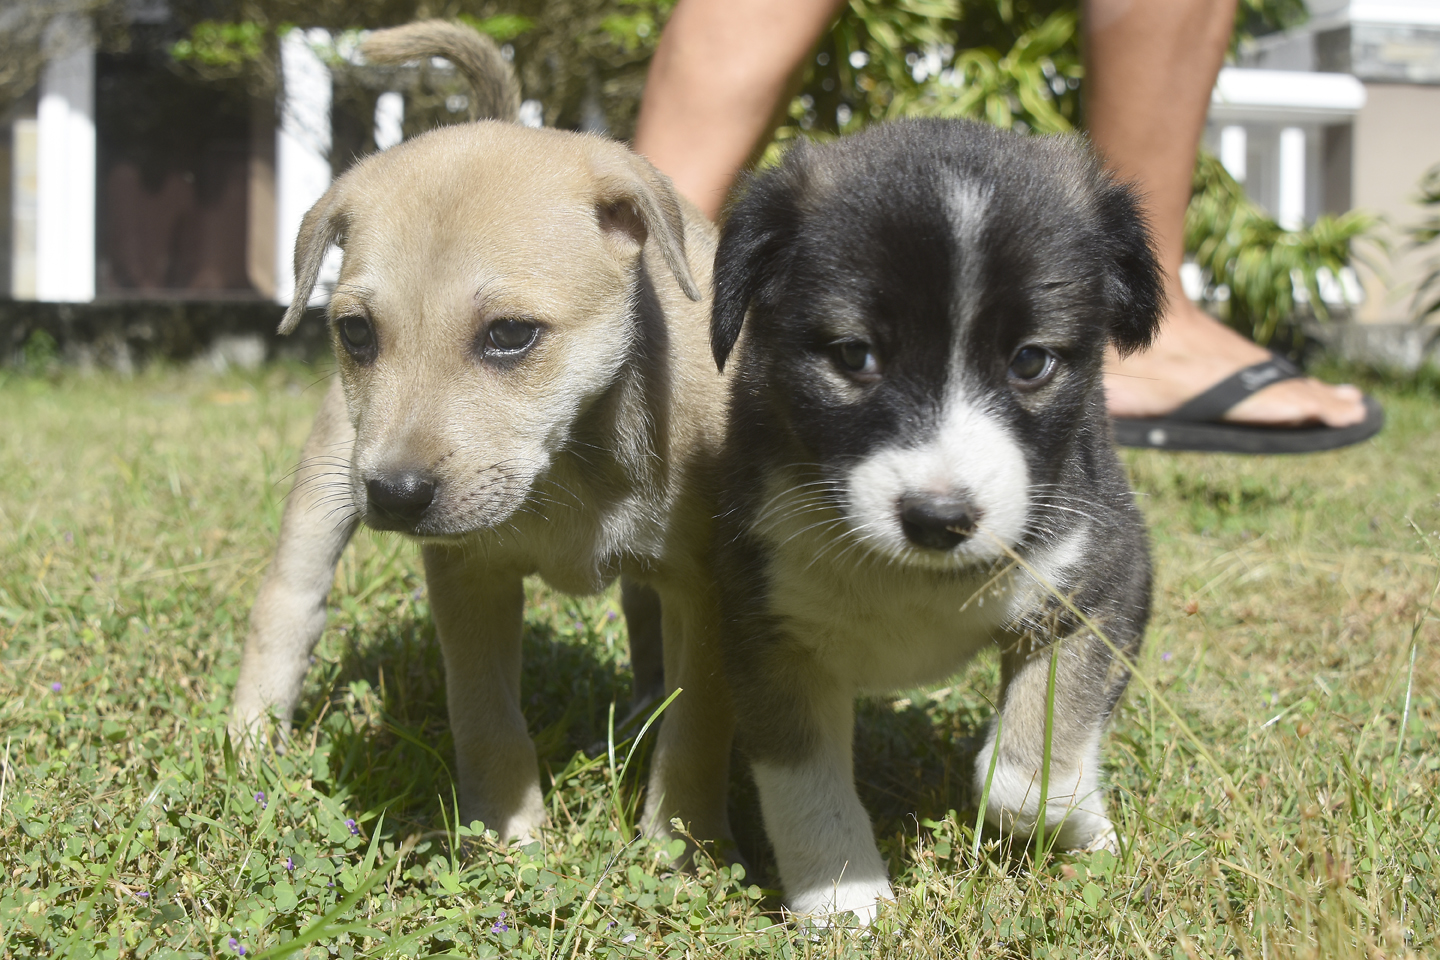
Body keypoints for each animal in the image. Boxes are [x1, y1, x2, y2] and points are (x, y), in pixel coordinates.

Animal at [234, 24, 737, 846]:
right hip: (326, 478)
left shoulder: (706, 589)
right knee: (288, 603)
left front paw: (679, 844)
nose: (395, 495)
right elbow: (486, 715)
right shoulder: (469, 576)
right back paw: (248, 744)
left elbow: (695, 729)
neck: (571, 462)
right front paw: (510, 834)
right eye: (355, 333)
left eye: (508, 334)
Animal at [714, 120, 1163, 921]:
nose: (938, 518)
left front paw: (1082, 824)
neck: (913, 577)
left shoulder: (1102, 579)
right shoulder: (765, 625)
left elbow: (1026, 778)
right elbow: (806, 785)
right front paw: (841, 897)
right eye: (854, 355)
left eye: (1032, 361)